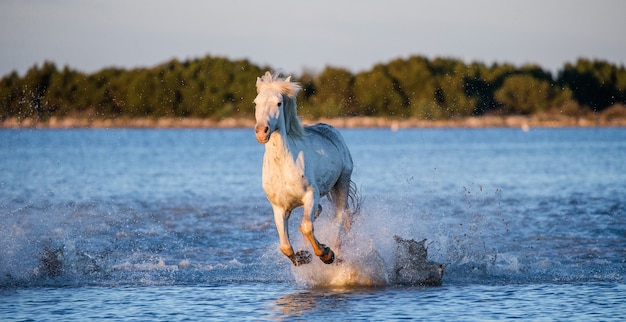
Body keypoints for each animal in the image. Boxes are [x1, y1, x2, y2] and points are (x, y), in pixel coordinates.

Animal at [254, 72, 358, 266]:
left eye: (279, 103)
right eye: (256, 102)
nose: (262, 131)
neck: (283, 165)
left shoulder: (311, 195)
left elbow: (307, 227)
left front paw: (326, 254)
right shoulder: (279, 208)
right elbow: (285, 246)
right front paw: (303, 257)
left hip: (342, 181)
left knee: (340, 216)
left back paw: (337, 252)